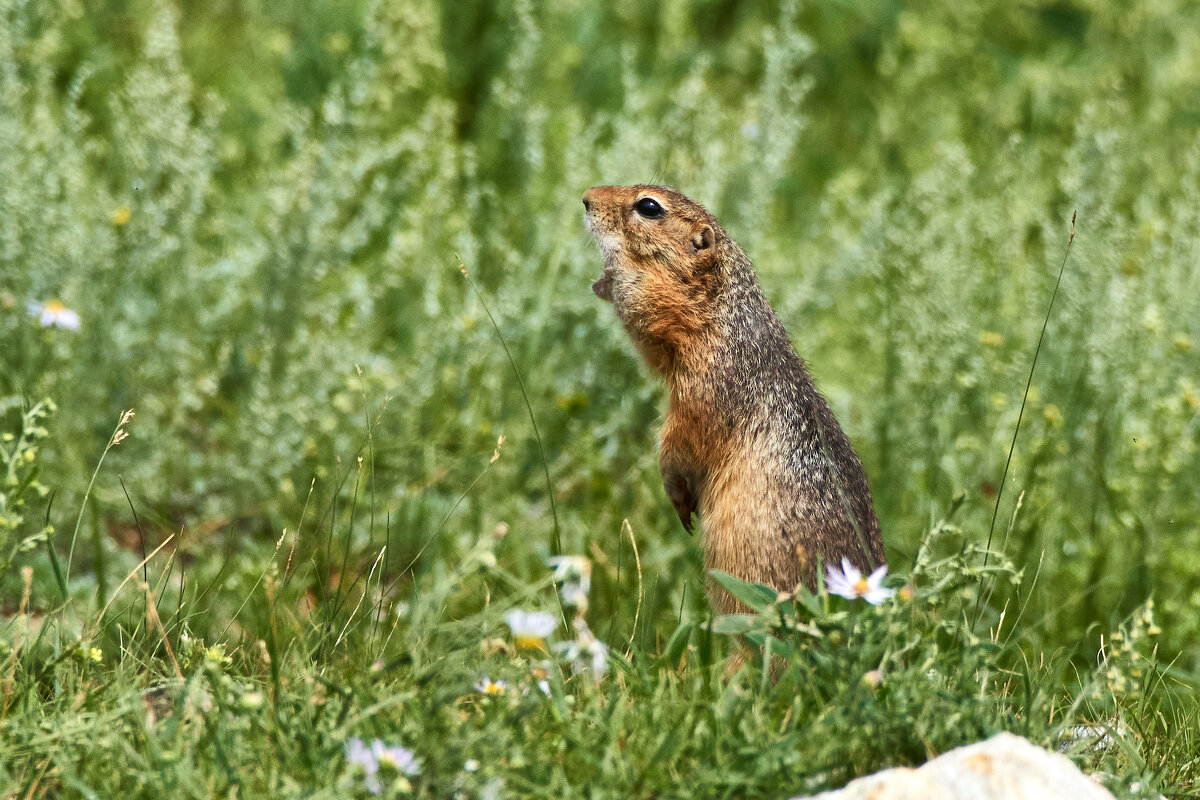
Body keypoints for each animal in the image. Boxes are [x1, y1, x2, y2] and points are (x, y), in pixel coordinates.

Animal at [580, 185, 883, 614]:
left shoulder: (705, 390)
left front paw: (679, 501)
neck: (722, 321)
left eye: (649, 207)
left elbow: (682, 443)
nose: (586, 197)